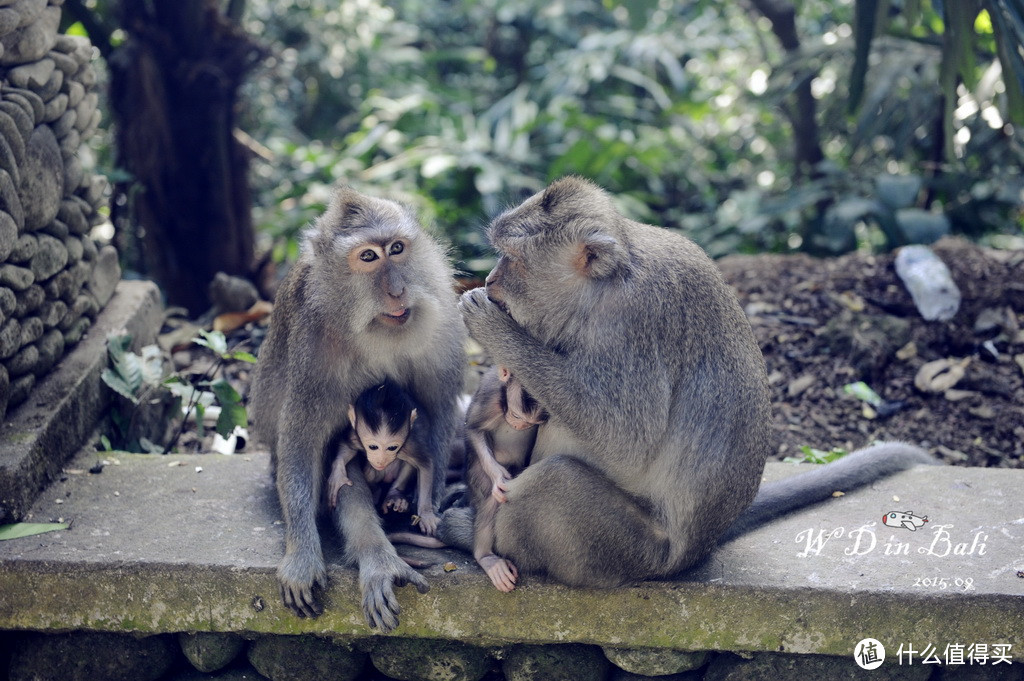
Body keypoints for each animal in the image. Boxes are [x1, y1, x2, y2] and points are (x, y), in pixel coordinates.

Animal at [327, 378, 440, 532]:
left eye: (392, 448)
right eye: (373, 447)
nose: (381, 461)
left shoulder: (409, 446)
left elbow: (425, 464)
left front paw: (426, 514)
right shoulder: (355, 437)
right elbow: (347, 446)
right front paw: (337, 476)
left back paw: (394, 494)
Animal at [464, 366, 548, 589]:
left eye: (529, 422)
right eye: (516, 415)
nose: (518, 426)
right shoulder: (489, 398)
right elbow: (473, 429)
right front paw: (498, 476)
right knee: (493, 497)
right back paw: (486, 557)